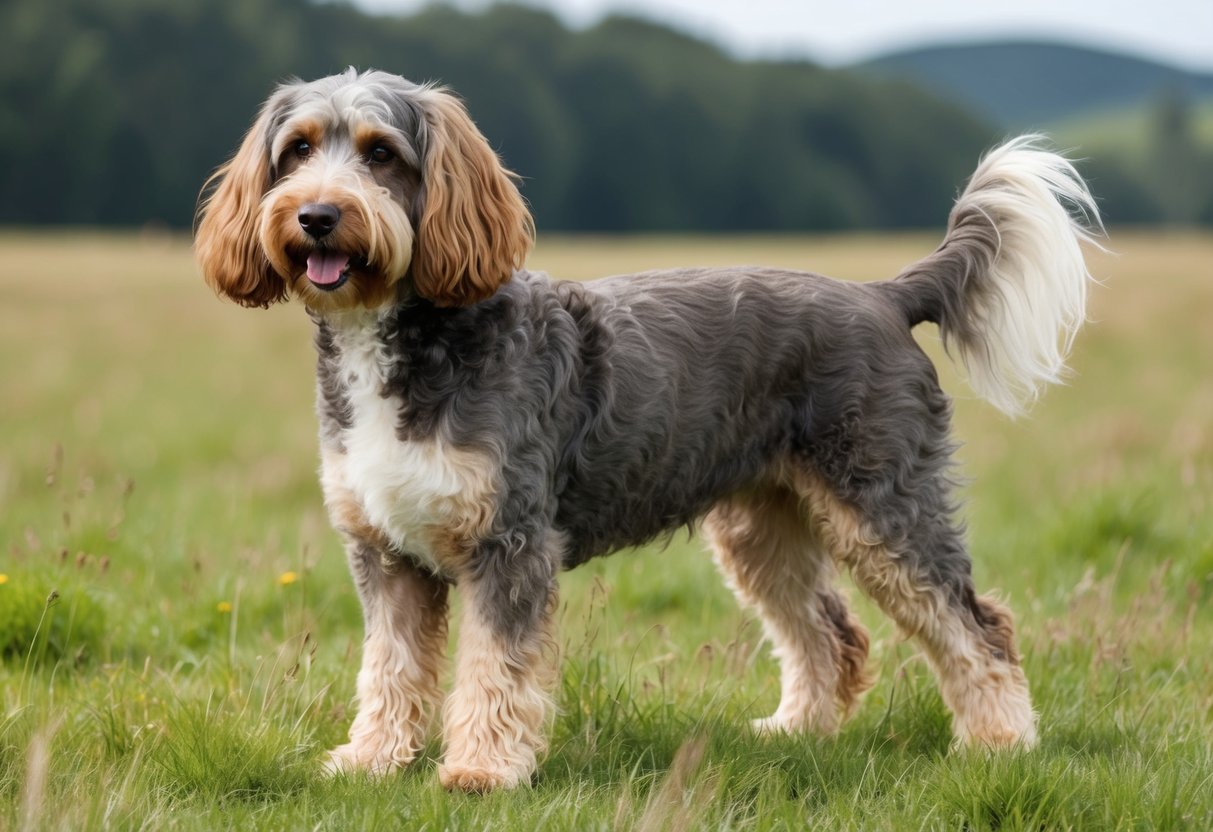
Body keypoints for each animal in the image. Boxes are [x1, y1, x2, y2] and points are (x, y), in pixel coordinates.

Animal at [194, 68, 1106, 790]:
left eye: (381, 153)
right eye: (297, 149)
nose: (316, 216)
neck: (401, 336)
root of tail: (883, 295)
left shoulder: (509, 544)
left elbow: (495, 668)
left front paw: (481, 769)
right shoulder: (384, 552)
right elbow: (388, 668)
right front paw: (372, 760)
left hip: (885, 505)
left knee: (975, 625)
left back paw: (999, 744)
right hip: (761, 525)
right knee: (829, 633)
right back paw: (796, 731)